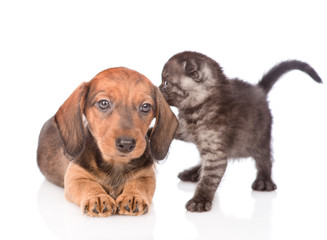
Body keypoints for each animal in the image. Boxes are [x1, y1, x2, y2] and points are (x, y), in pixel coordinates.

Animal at [37, 66, 179, 217]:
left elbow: (139, 184)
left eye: (145, 106)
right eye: (103, 103)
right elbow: (88, 184)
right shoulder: (74, 177)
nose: (126, 144)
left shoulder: (146, 175)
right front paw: (98, 197)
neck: (116, 164)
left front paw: (133, 196)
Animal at [160, 51, 324, 213]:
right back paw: (193, 173)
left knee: (265, 160)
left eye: (166, 82)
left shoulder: (216, 152)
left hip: (260, 138)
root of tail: (259, 90)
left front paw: (200, 200)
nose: (158, 88)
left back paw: (264, 181)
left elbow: (209, 179)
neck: (196, 111)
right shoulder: (187, 131)